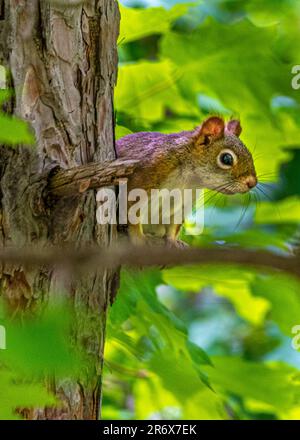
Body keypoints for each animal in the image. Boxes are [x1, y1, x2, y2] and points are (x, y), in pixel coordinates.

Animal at [116, 117, 256, 246]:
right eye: (226, 159)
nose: (252, 183)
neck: (188, 180)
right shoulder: (141, 178)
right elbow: (132, 213)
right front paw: (138, 238)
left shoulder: (184, 204)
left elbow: (174, 225)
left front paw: (172, 241)